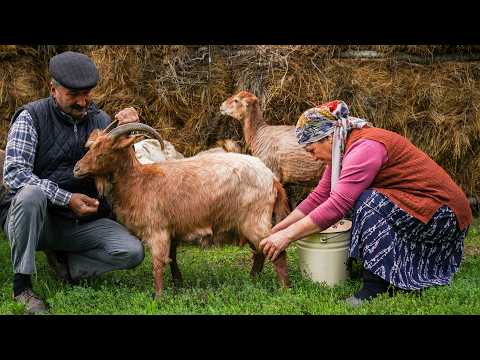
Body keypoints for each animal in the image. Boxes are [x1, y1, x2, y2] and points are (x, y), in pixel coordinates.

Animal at [73, 124, 290, 298]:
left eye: (104, 151)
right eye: (90, 147)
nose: (77, 169)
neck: (139, 182)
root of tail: (272, 179)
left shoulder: (157, 230)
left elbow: (158, 264)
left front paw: (158, 297)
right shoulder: (172, 230)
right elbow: (172, 259)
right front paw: (178, 283)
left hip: (255, 220)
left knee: (276, 250)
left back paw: (283, 289)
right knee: (261, 252)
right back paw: (253, 279)